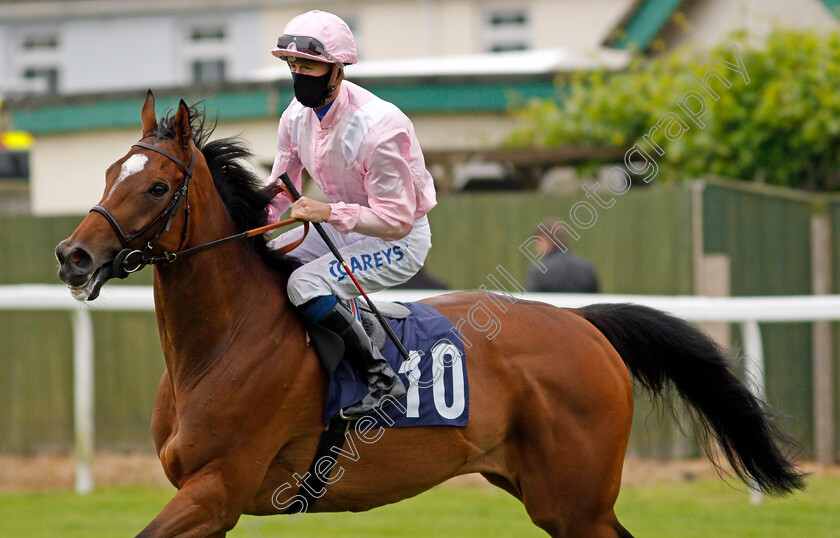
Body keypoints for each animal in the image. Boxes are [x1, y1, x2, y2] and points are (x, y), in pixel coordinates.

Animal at [55, 90, 804, 532]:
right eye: (109, 174)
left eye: (157, 187)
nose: (73, 256)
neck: (221, 344)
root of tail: (584, 325)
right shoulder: (216, 502)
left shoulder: (217, 490)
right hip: (542, 489)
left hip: (575, 496)